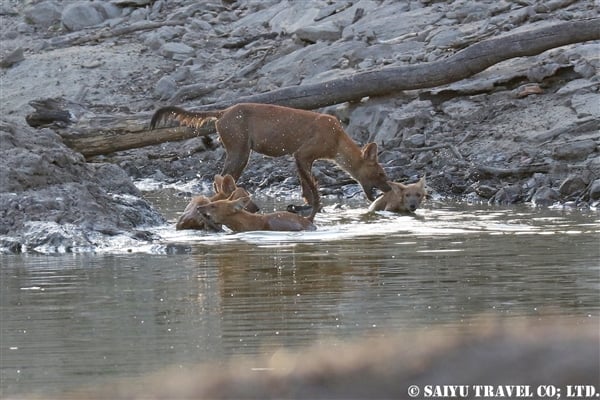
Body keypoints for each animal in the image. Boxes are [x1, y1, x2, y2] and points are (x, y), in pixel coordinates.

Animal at [152, 101, 392, 217]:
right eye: (381, 173)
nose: (389, 189)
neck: (337, 141)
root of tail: (222, 112)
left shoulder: (303, 158)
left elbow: (306, 186)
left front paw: (307, 206)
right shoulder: (302, 153)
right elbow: (312, 186)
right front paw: (314, 206)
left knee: (219, 179)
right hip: (240, 151)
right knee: (223, 179)